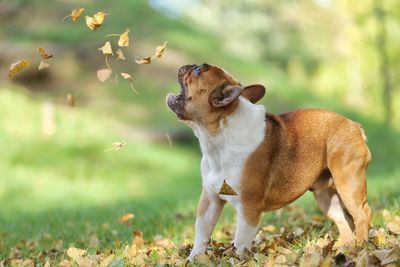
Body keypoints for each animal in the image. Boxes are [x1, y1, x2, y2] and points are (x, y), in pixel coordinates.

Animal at [166, 63, 372, 260]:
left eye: (198, 70)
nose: (189, 65)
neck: (218, 138)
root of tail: (355, 126)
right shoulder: (210, 199)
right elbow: (202, 232)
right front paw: (194, 259)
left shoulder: (249, 206)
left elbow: (241, 241)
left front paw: (238, 260)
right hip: (326, 195)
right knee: (343, 219)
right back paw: (345, 247)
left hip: (348, 182)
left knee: (362, 214)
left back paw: (359, 247)